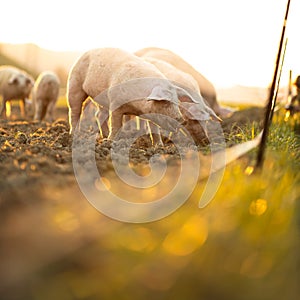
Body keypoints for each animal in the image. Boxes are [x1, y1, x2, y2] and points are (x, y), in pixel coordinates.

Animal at [67, 47, 209, 141]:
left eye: (176, 102)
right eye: (166, 102)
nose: (181, 119)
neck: (136, 107)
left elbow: (154, 130)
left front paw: (159, 147)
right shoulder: (115, 104)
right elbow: (116, 125)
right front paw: (111, 141)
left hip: (101, 98)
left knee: (99, 114)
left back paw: (103, 136)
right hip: (75, 83)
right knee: (75, 111)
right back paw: (75, 135)